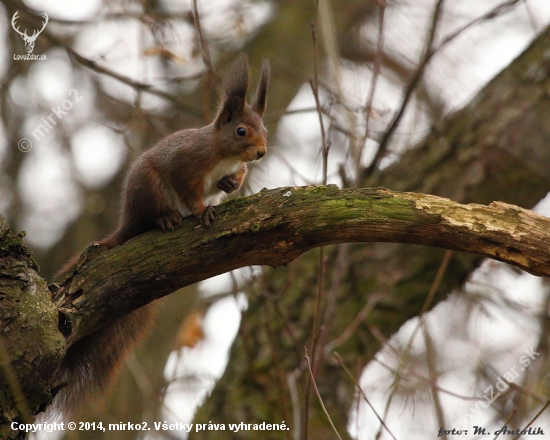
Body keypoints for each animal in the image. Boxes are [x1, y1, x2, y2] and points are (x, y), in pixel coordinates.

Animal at [54, 55, 272, 416]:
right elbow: (190, 193)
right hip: (150, 189)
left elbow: (235, 178)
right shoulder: (187, 166)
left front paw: (230, 184)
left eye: (265, 130)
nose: (261, 153)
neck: (222, 154)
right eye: (241, 131)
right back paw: (168, 219)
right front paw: (202, 211)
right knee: (154, 216)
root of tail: (128, 219)